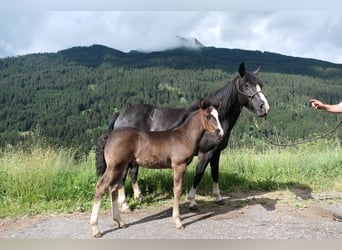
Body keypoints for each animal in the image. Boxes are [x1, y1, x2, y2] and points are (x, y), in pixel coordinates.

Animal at [96, 61, 270, 210]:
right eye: (246, 85)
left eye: (261, 85)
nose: (264, 107)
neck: (215, 118)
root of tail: (120, 115)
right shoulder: (205, 153)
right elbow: (198, 175)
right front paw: (192, 201)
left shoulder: (216, 153)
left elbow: (215, 174)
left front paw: (218, 197)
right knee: (121, 178)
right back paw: (125, 205)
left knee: (132, 173)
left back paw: (139, 197)